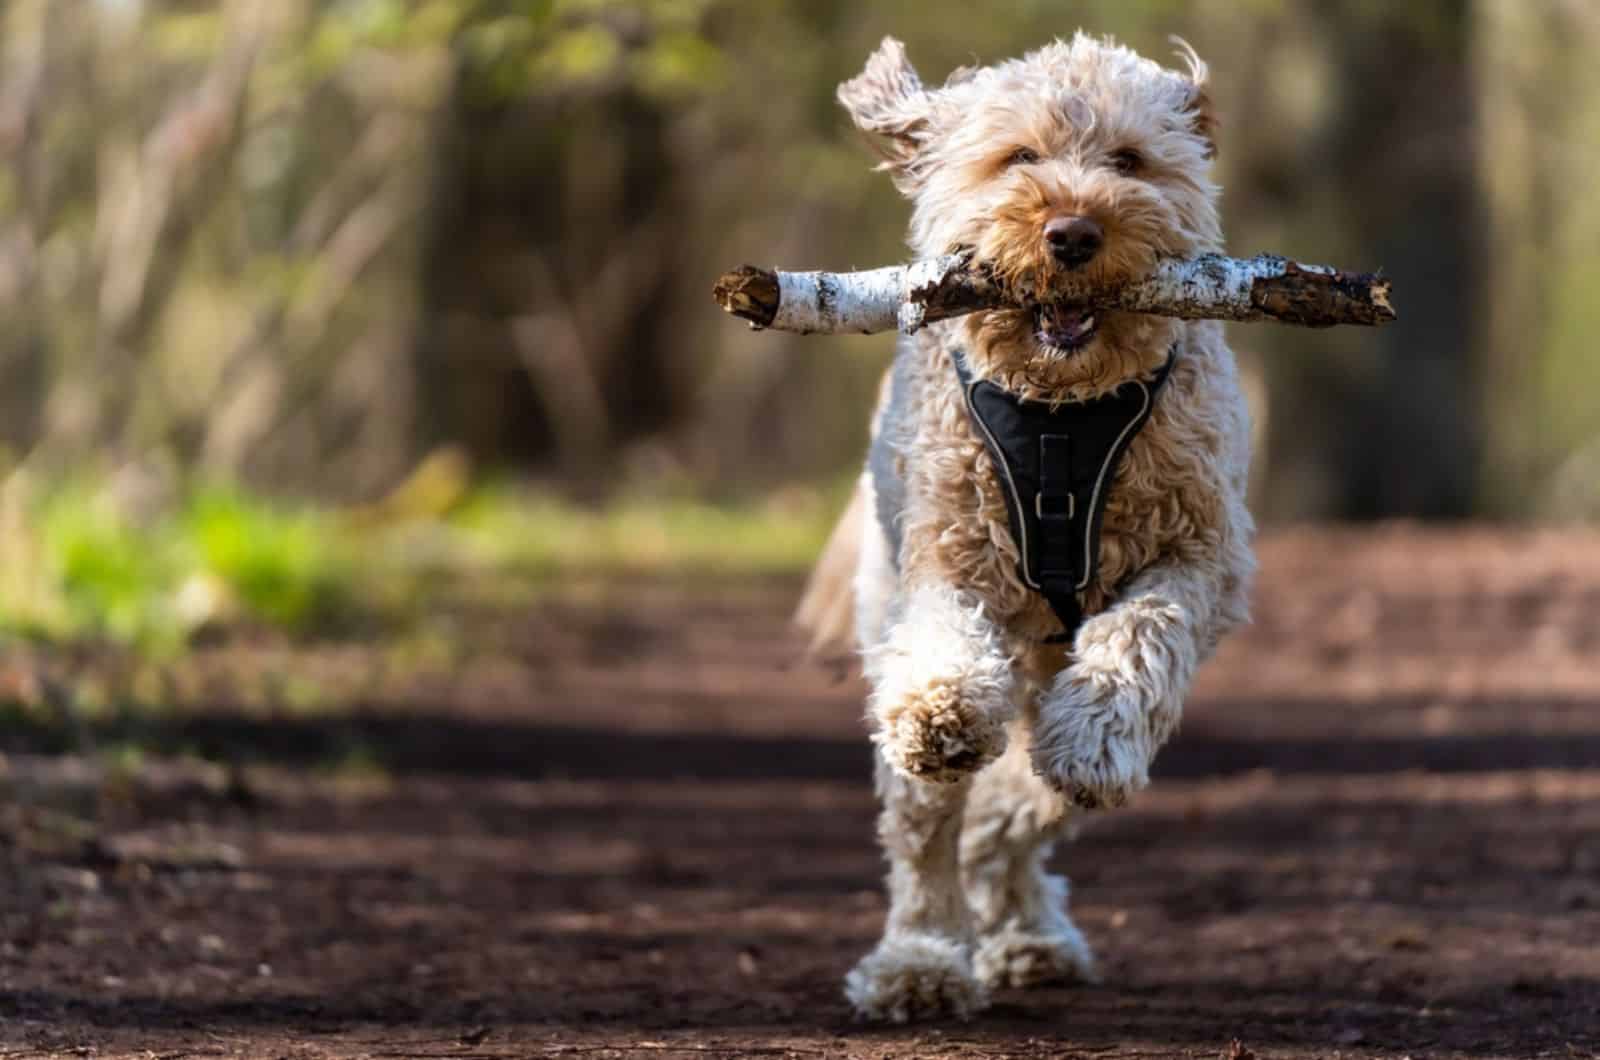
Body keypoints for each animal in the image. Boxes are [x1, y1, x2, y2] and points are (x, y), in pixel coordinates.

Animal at [793, 37, 1254, 1024]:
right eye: (1018, 158)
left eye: (1128, 160)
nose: (1072, 233)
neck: (1062, 412)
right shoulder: (947, 553)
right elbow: (943, 652)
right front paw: (943, 710)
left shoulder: (1199, 556)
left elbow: (1138, 640)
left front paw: (1094, 739)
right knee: (926, 828)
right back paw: (920, 959)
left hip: (1054, 665)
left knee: (1023, 801)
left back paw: (1026, 925)